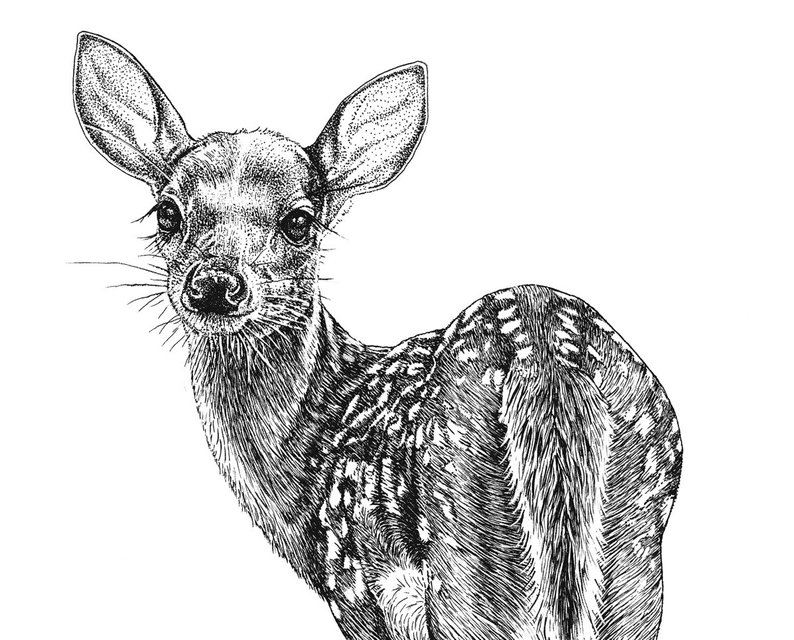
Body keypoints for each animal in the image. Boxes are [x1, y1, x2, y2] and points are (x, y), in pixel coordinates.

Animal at [73, 32, 682, 640]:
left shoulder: (353, 589)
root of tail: (546, 363)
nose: (215, 283)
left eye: (299, 220)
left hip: (471, 553)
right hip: (633, 555)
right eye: (166, 212)